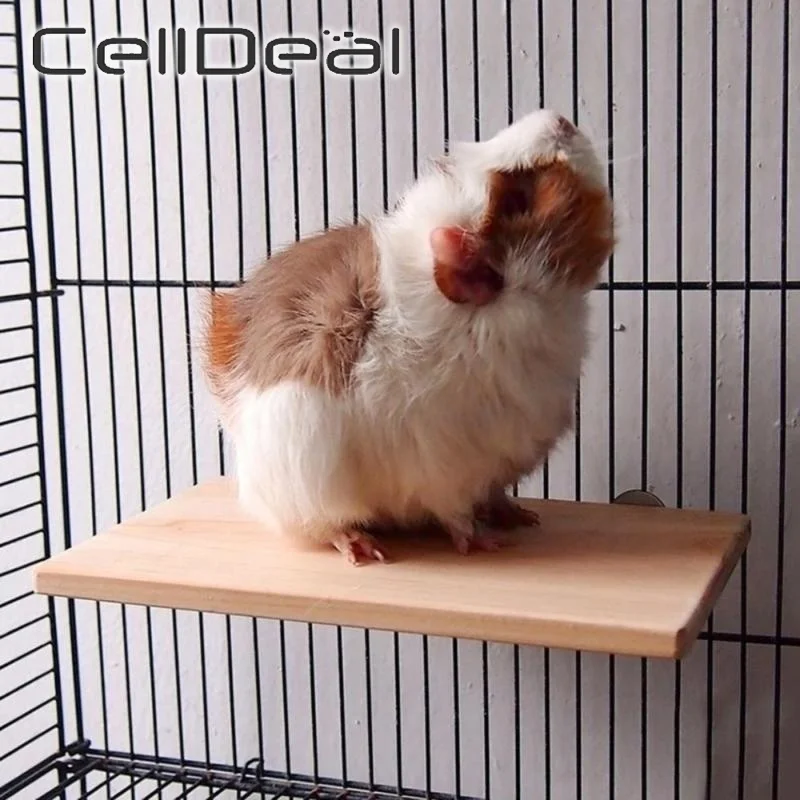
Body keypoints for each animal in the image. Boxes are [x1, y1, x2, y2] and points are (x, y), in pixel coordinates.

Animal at [203, 109, 613, 565]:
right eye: (520, 197)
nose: (559, 118)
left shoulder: (495, 464)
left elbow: (494, 494)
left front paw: (522, 517)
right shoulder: (446, 472)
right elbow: (456, 516)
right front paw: (485, 544)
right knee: (322, 525)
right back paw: (363, 549)